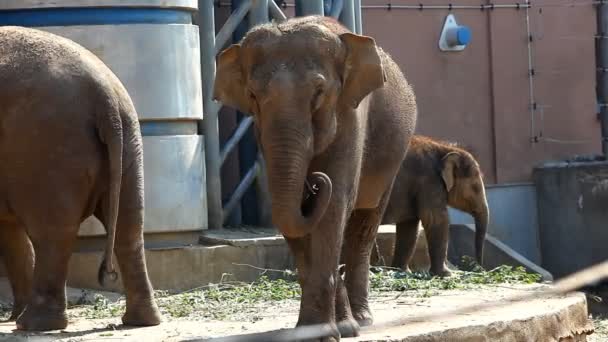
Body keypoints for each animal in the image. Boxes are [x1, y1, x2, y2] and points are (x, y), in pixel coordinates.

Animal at [0, 26, 162, 332]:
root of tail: (104, 93)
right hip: (129, 142)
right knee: (129, 226)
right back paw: (142, 321)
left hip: (48, 147)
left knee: (52, 233)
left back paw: (34, 324)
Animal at [214, 15, 418, 340]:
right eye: (253, 95)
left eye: (319, 92)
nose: (316, 181)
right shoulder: (263, 134)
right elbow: (291, 212)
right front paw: (319, 331)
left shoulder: (350, 114)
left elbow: (335, 205)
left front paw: (330, 332)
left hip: (395, 154)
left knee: (365, 220)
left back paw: (362, 320)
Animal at [382, 135, 492, 276]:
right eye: (475, 187)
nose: (480, 270)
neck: (444, 149)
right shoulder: (430, 180)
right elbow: (436, 220)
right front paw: (447, 275)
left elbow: (409, 226)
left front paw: (401, 272)